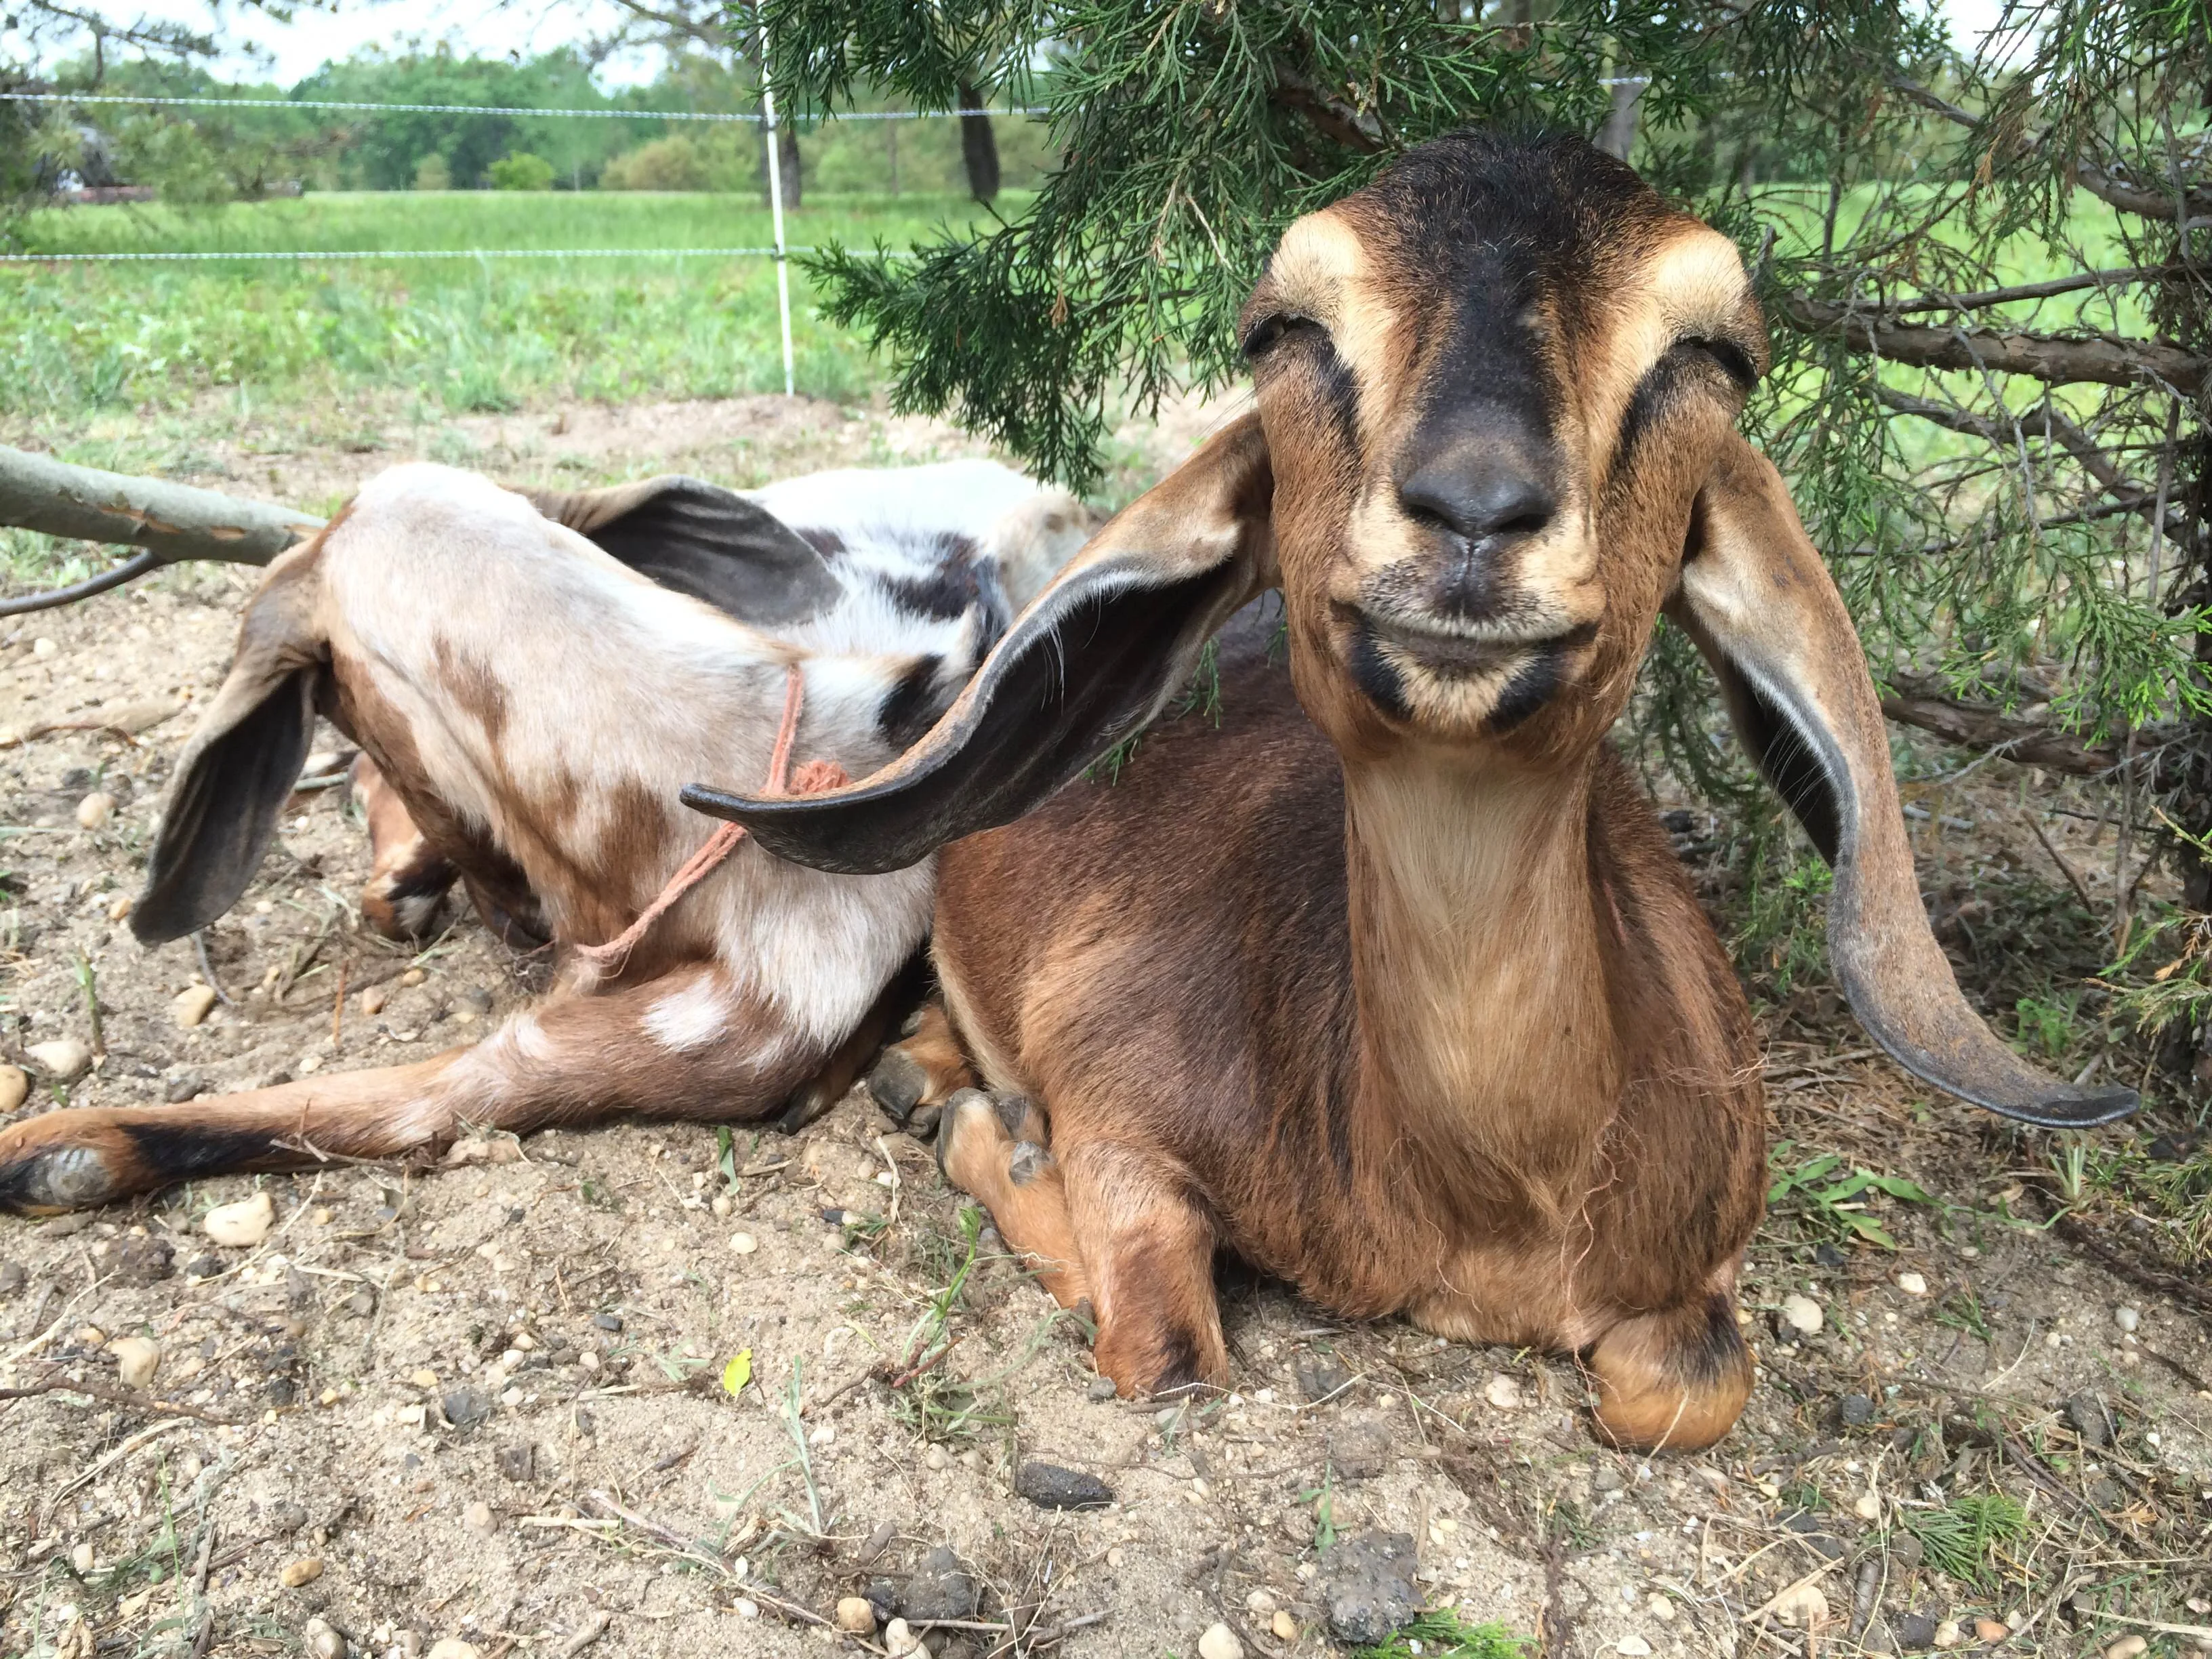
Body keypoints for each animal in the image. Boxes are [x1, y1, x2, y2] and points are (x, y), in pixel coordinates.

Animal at [687, 131, 2137, 1452]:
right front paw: (995, 1140)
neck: (1486, 1209)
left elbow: (1689, 1385)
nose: (1474, 505)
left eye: (1710, 352)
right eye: (1284, 326)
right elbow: (1165, 1347)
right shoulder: (1117, 1098)